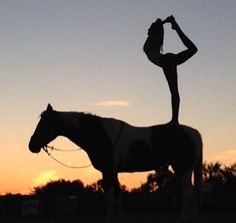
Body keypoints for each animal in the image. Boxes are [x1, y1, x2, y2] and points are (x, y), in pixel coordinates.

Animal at [28, 104, 203, 223]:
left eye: (45, 124)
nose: (31, 145)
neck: (101, 134)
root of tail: (193, 133)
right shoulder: (114, 172)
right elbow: (118, 197)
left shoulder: (107, 171)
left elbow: (109, 197)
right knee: (193, 192)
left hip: (182, 169)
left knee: (188, 193)